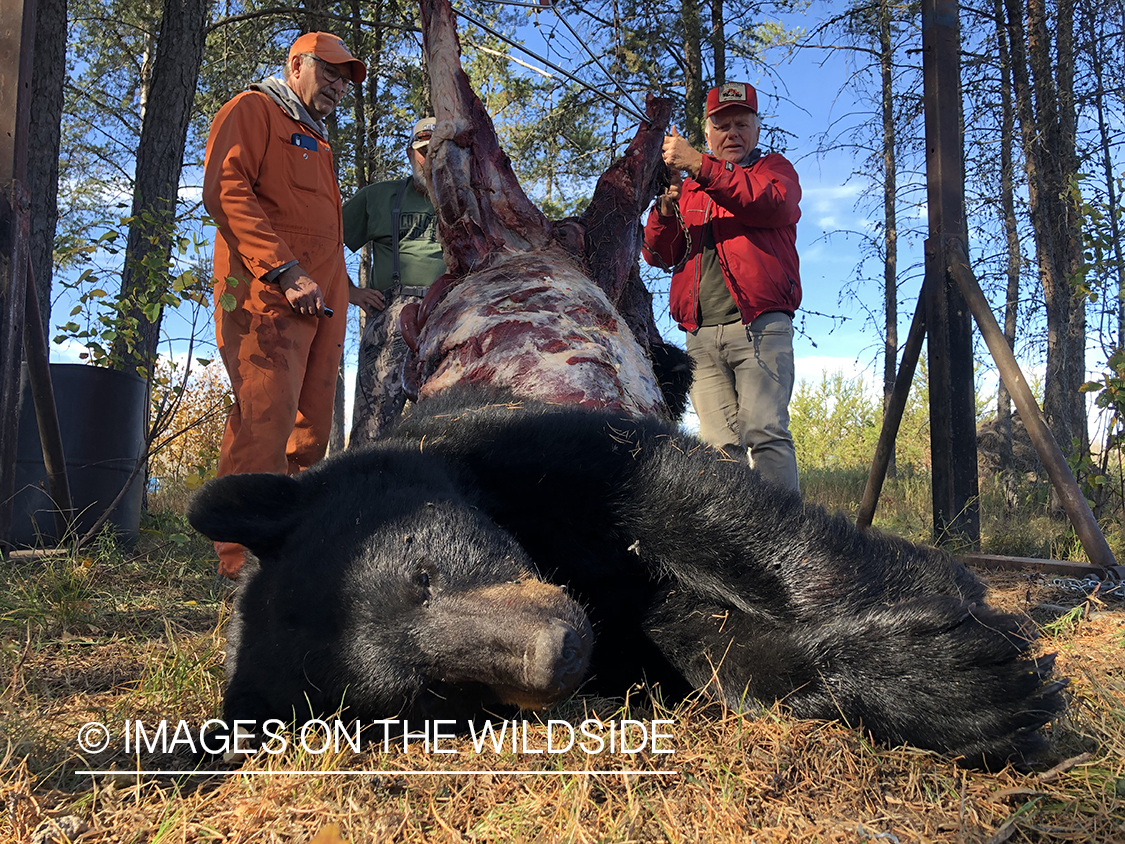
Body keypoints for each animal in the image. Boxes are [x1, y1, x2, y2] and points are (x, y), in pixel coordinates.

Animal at [191, 389, 1062, 765]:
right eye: (431, 698)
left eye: (424, 570)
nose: (558, 650)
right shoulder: (628, 633)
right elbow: (711, 645)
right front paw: (948, 689)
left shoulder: (533, 450)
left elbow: (693, 505)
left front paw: (948, 648)